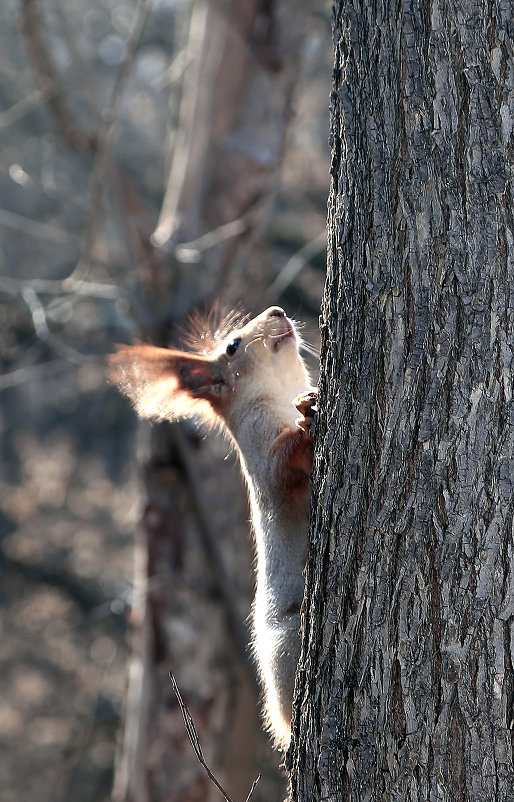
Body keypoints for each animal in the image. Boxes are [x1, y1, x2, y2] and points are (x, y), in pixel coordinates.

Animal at [108, 304, 316, 748]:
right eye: (233, 346)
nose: (278, 310)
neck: (279, 393)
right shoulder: (262, 451)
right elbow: (282, 468)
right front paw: (308, 419)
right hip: (288, 644)